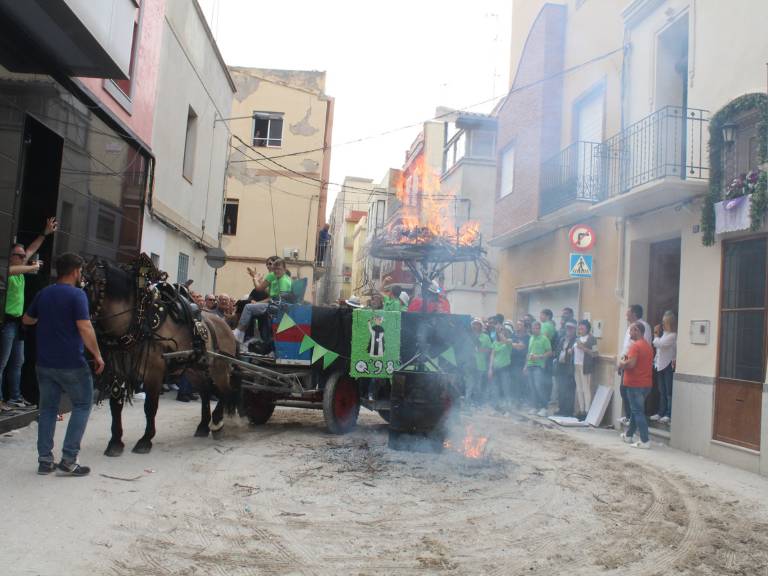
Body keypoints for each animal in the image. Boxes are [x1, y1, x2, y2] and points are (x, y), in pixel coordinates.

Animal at [84, 258, 240, 456]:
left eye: (90, 285)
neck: (139, 322)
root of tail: (225, 325)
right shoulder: (119, 371)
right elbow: (115, 405)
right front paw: (115, 442)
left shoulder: (154, 372)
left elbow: (150, 407)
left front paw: (145, 440)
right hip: (193, 370)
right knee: (206, 392)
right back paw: (204, 425)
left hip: (219, 367)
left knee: (225, 392)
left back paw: (217, 422)